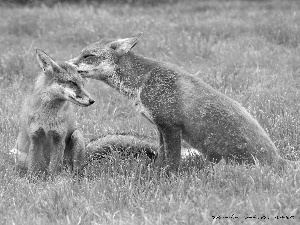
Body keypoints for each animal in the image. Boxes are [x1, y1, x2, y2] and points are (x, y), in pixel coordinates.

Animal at [11, 49, 94, 179]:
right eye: (72, 83)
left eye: (82, 84)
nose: (92, 101)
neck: (47, 118)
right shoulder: (35, 137)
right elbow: (33, 165)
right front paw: (32, 179)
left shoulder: (59, 138)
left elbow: (54, 167)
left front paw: (53, 180)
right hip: (16, 153)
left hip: (77, 136)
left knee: (74, 168)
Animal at [67, 33, 292, 173]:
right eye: (81, 53)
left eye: (88, 56)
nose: (67, 64)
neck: (142, 82)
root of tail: (279, 161)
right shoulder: (160, 128)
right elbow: (161, 157)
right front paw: (155, 174)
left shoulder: (171, 126)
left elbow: (172, 162)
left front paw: (167, 180)